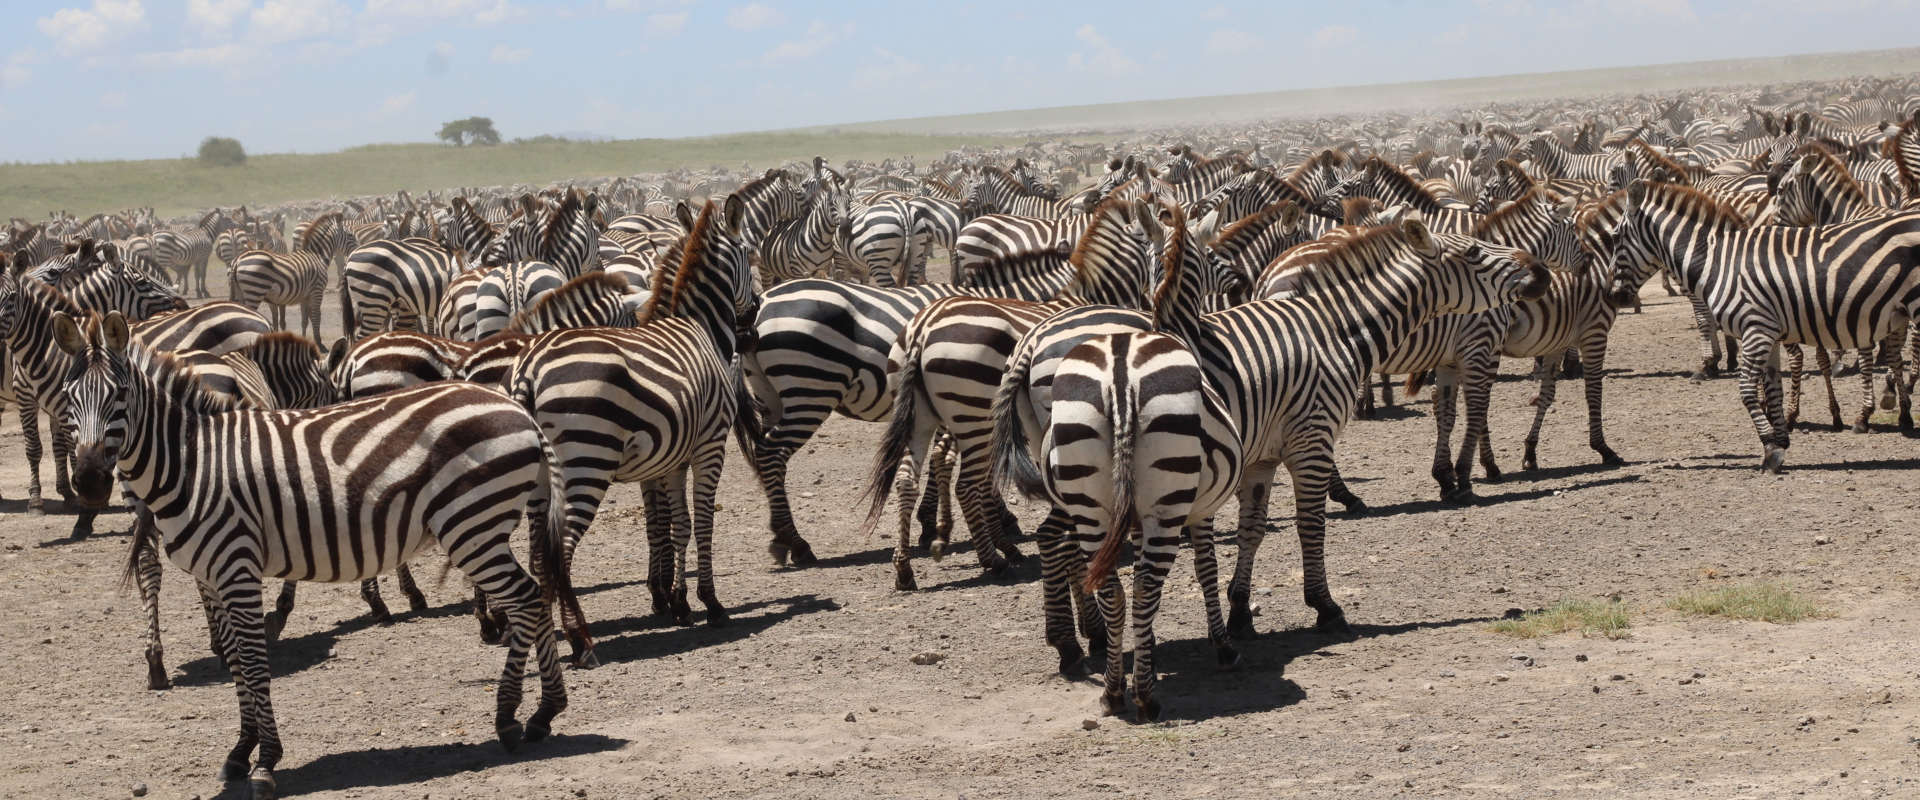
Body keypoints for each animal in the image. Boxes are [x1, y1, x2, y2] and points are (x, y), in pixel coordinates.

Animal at [60, 308, 583, 794]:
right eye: (69, 400)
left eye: (119, 396)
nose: (88, 482)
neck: (194, 462)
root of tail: (520, 410)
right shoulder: (213, 575)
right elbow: (235, 662)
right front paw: (240, 750)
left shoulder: (237, 568)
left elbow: (254, 662)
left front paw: (266, 760)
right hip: (486, 524)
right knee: (534, 595)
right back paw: (542, 713)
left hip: (473, 523)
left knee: (526, 598)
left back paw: (512, 718)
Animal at [503, 197, 756, 656]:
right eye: (749, 253)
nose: (756, 315)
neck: (701, 325)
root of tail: (527, 372)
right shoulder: (710, 446)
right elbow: (703, 520)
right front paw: (711, 603)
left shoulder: (672, 458)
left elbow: (679, 526)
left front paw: (679, 603)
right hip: (587, 460)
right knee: (561, 549)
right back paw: (579, 638)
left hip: (542, 478)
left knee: (538, 553)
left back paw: (543, 635)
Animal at [1605, 180, 1920, 470]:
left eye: (1616, 237)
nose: (1614, 296)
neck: (1716, 262)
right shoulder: (1769, 334)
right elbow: (1773, 389)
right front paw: (1780, 440)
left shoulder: (1756, 329)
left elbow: (1746, 389)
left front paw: (1770, 448)